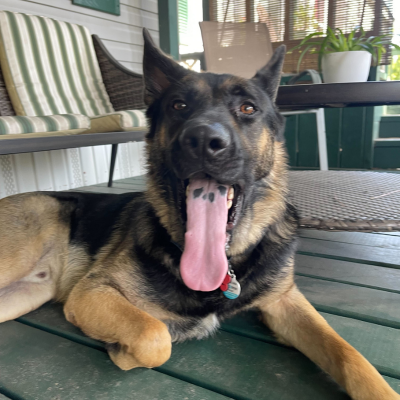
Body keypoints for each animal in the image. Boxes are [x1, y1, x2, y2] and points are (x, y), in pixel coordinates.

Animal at [0, 28, 398, 400]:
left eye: (248, 109)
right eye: (178, 105)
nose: (204, 141)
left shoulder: (286, 302)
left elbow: (347, 352)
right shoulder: (93, 293)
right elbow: (154, 336)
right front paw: (123, 349)